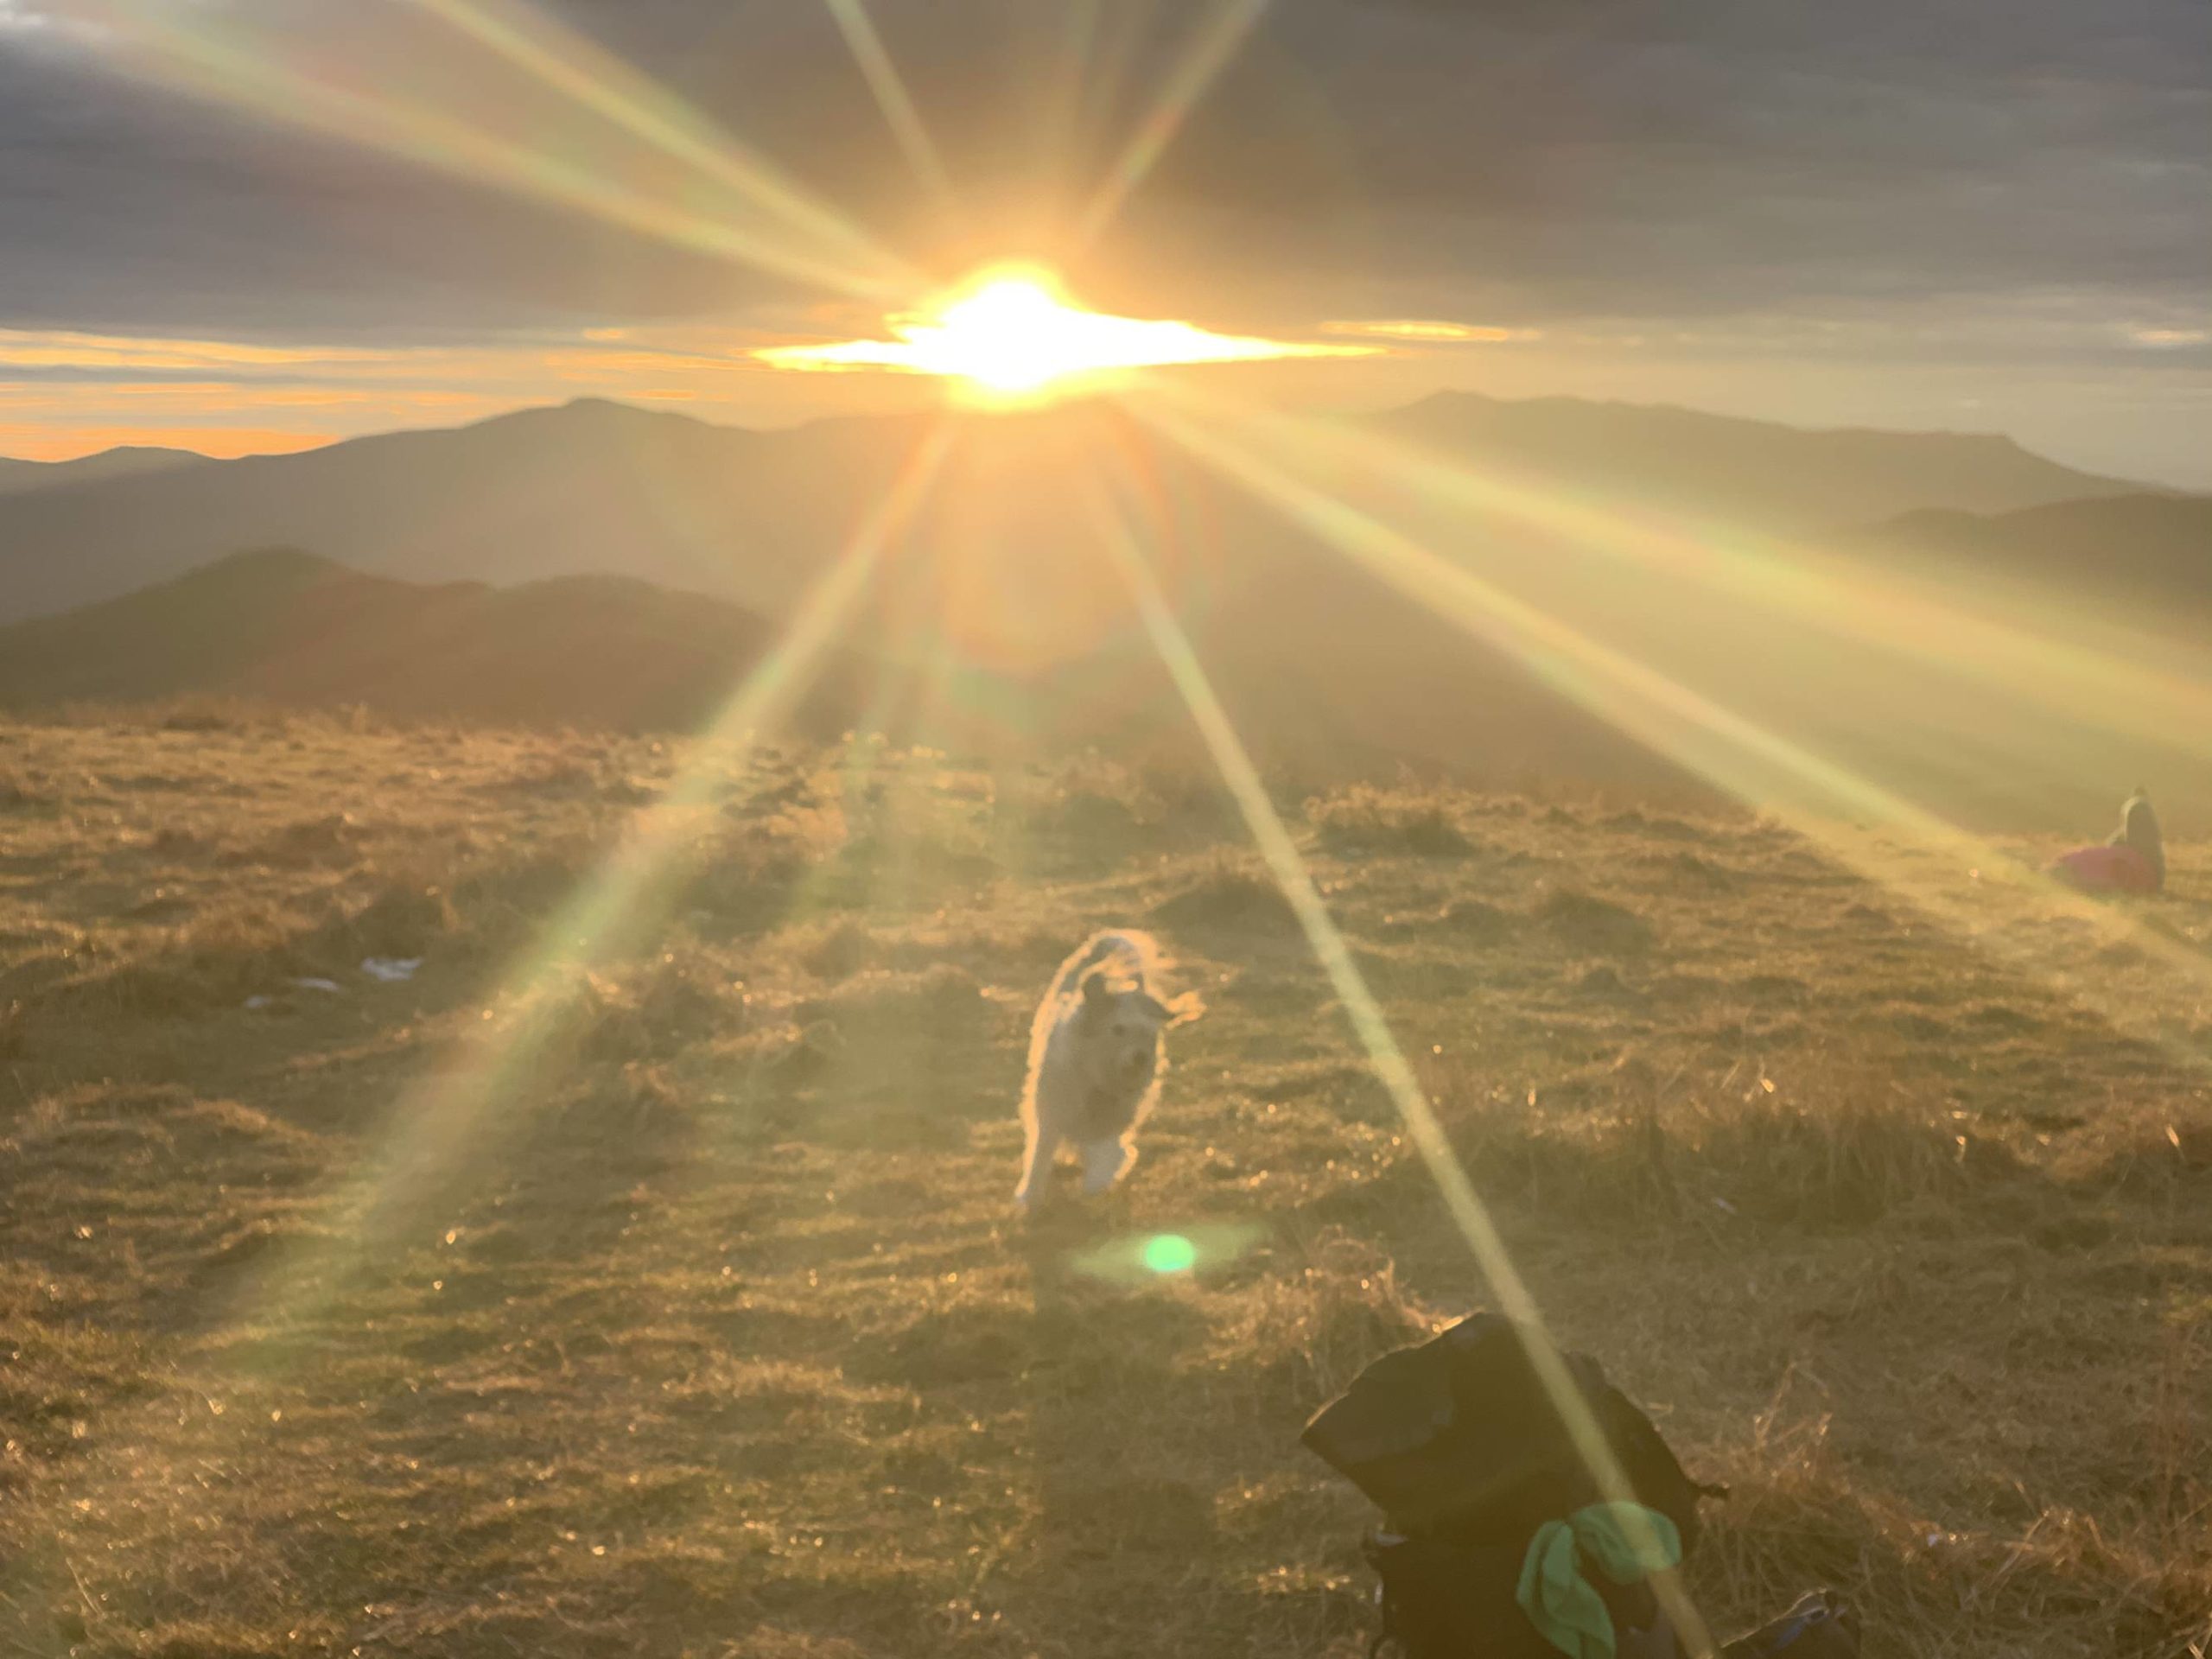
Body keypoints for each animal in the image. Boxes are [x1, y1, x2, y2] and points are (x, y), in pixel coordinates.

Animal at [1013, 938, 1203, 1211]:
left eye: (1148, 1033)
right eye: (1118, 1029)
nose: (1141, 1057)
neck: (1098, 1080)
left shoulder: (1113, 1121)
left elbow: (1107, 1151)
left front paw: (1098, 1180)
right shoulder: (1053, 1112)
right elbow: (1041, 1153)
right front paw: (1030, 1196)